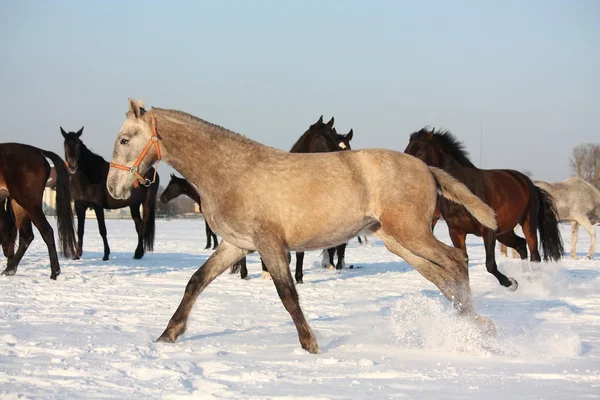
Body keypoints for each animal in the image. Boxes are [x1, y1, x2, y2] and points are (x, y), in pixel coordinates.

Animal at [0, 143, 77, 278]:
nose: (6, 252)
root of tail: (39, 151)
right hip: (19, 205)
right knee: (26, 236)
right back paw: (9, 269)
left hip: (29, 204)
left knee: (46, 231)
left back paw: (54, 272)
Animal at [61, 126, 159, 260]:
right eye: (65, 144)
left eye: (78, 145)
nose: (72, 166)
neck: (88, 177)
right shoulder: (79, 206)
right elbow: (80, 230)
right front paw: (77, 255)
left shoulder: (98, 206)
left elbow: (102, 229)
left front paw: (106, 255)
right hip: (134, 205)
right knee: (138, 226)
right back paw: (138, 253)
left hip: (147, 203)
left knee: (143, 226)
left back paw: (139, 253)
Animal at [106, 99, 496, 354]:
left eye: (125, 139)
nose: (113, 189)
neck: (231, 171)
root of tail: (426, 168)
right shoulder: (237, 245)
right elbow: (195, 282)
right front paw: (168, 335)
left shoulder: (269, 244)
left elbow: (288, 295)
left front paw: (310, 345)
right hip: (396, 240)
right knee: (441, 275)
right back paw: (471, 324)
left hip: (411, 233)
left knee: (456, 262)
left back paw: (477, 326)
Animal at [406, 129, 564, 290]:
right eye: (406, 152)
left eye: (419, 153)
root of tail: (530, 184)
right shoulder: (456, 232)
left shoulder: (488, 230)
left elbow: (490, 265)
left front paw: (511, 283)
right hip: (504, 232)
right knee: (521, 245)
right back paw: (526, 278)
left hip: (528, 223)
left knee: (534, 255)